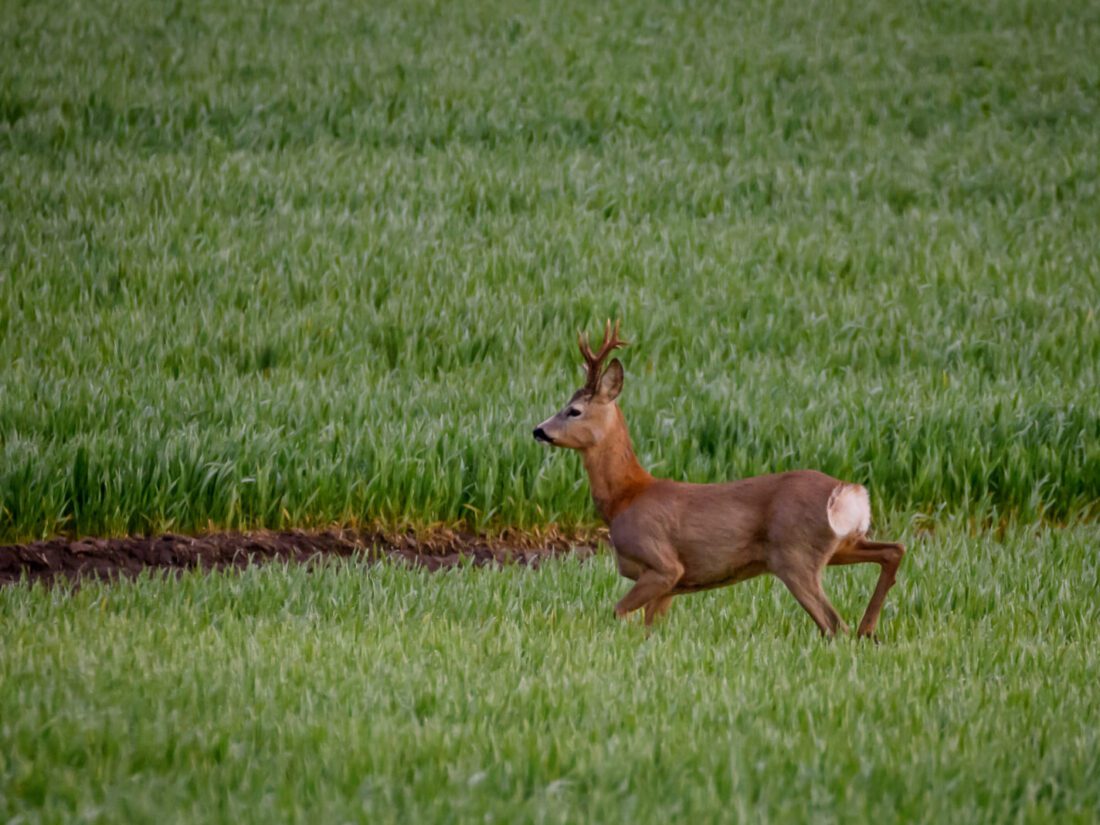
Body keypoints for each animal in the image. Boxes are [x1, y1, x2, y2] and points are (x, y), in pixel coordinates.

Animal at [533, 320, 905, 638]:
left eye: (574, 410)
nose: (538, 430)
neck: (625, 498)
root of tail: (847, 492)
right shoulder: (673, 586)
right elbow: (651, 628)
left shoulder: (663, 564)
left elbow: (618, 612)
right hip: (842, 544)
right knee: (893, 550)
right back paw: (868, 630)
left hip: (795, 555)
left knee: (833, 624)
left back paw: (858, 631)